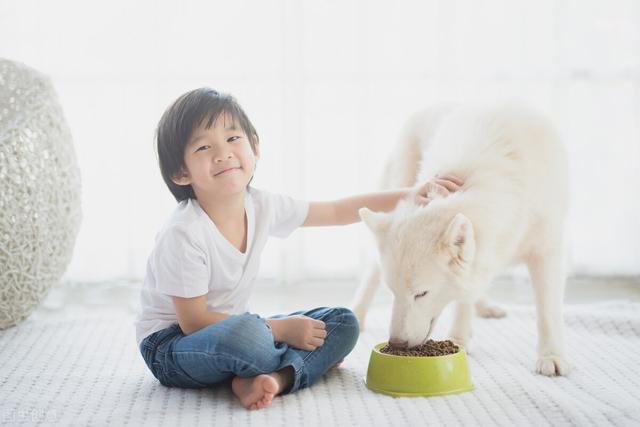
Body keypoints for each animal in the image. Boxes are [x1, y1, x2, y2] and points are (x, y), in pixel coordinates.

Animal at [356, 105, 568, 376]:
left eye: (421, 293)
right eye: (392, 291)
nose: (397, 344)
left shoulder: (547, 247)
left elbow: (547, 310)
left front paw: (551, 356)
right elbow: (462, 299)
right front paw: (458, 340)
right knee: (371, 274)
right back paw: (357, 315)